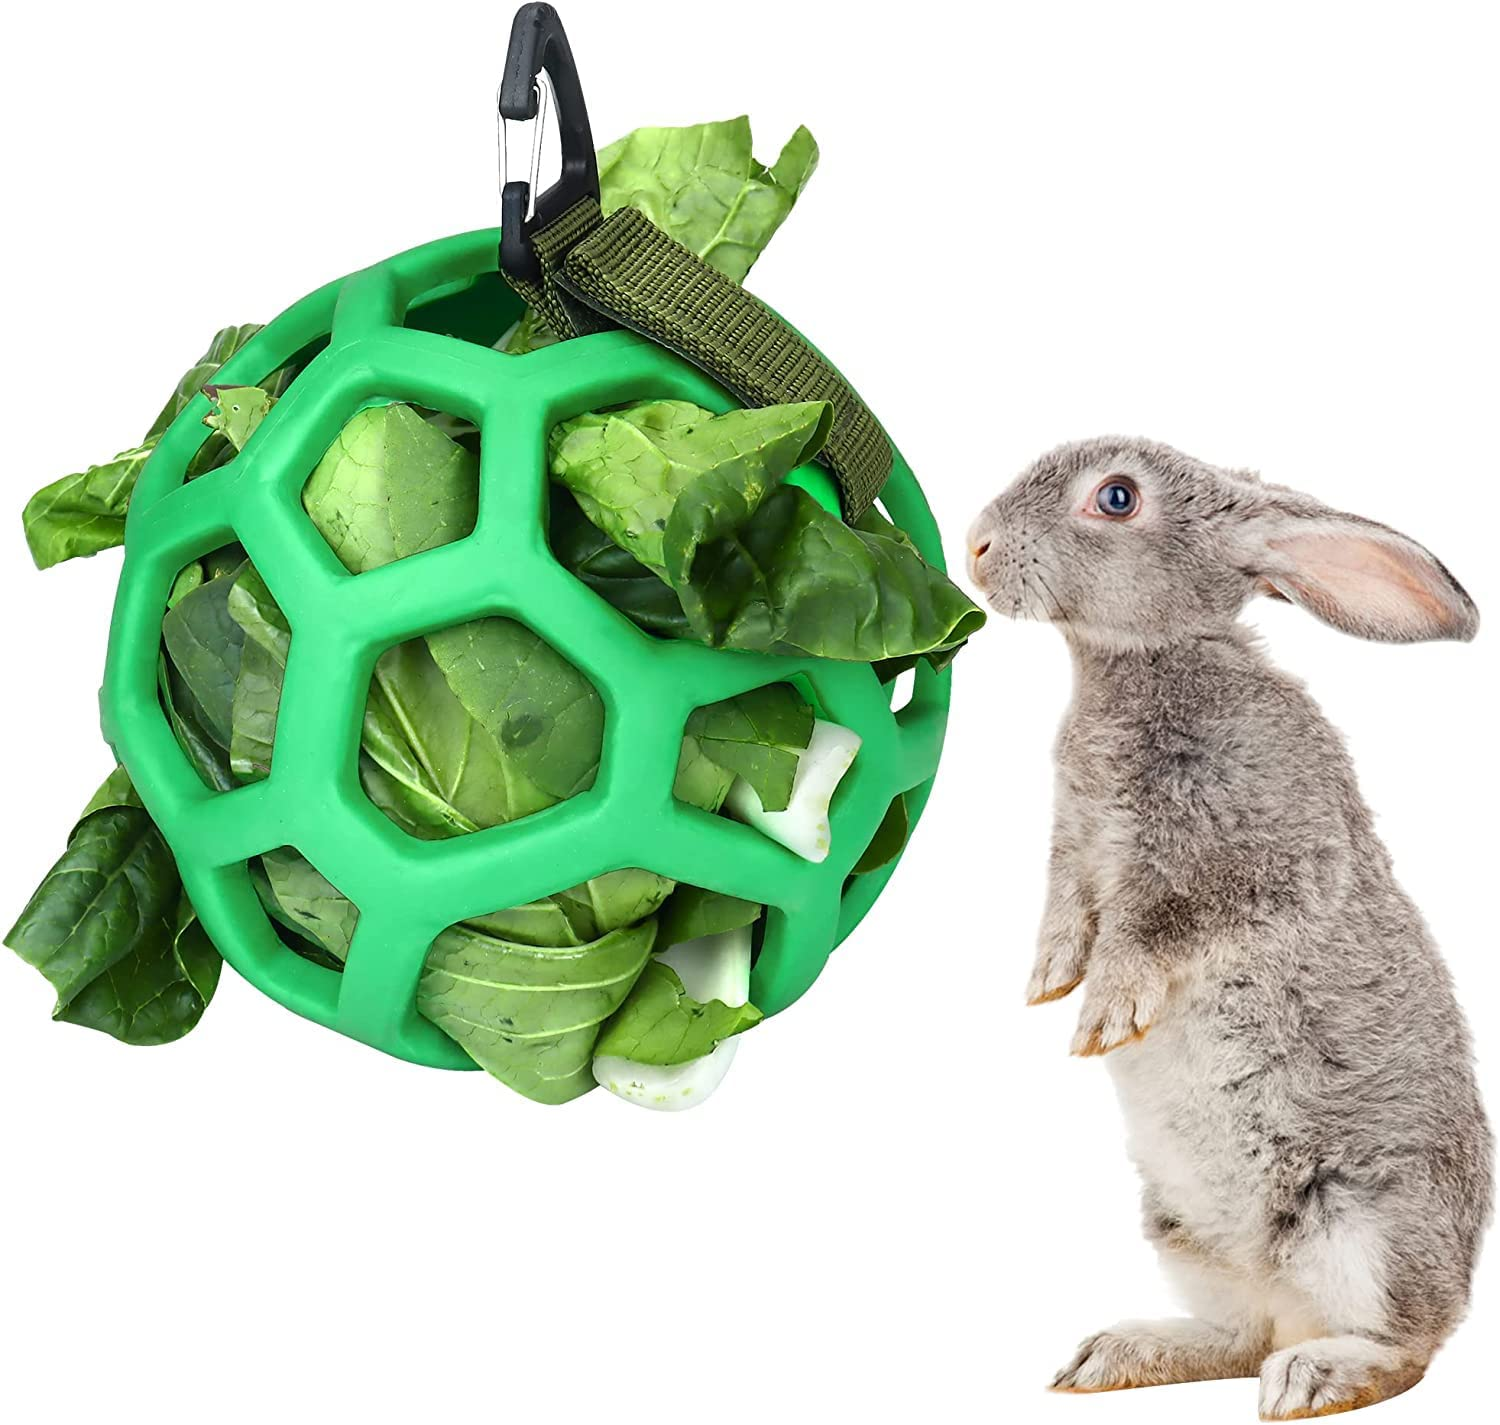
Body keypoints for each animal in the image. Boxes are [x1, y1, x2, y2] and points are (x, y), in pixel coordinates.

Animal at [967, 437, 1491, 1419]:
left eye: (1118, 497)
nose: (976, 545)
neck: (1147, 660)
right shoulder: (1076, 848)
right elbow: (1068, 909)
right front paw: (1048, 980)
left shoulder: (1242, 858)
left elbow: (1156, 927)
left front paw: (1103, 1014)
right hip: (1183, 1229)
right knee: (1239, 1335)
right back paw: (1118, 1354)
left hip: (1363, 1221)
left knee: (1402, 1347)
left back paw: (1314, 1376)